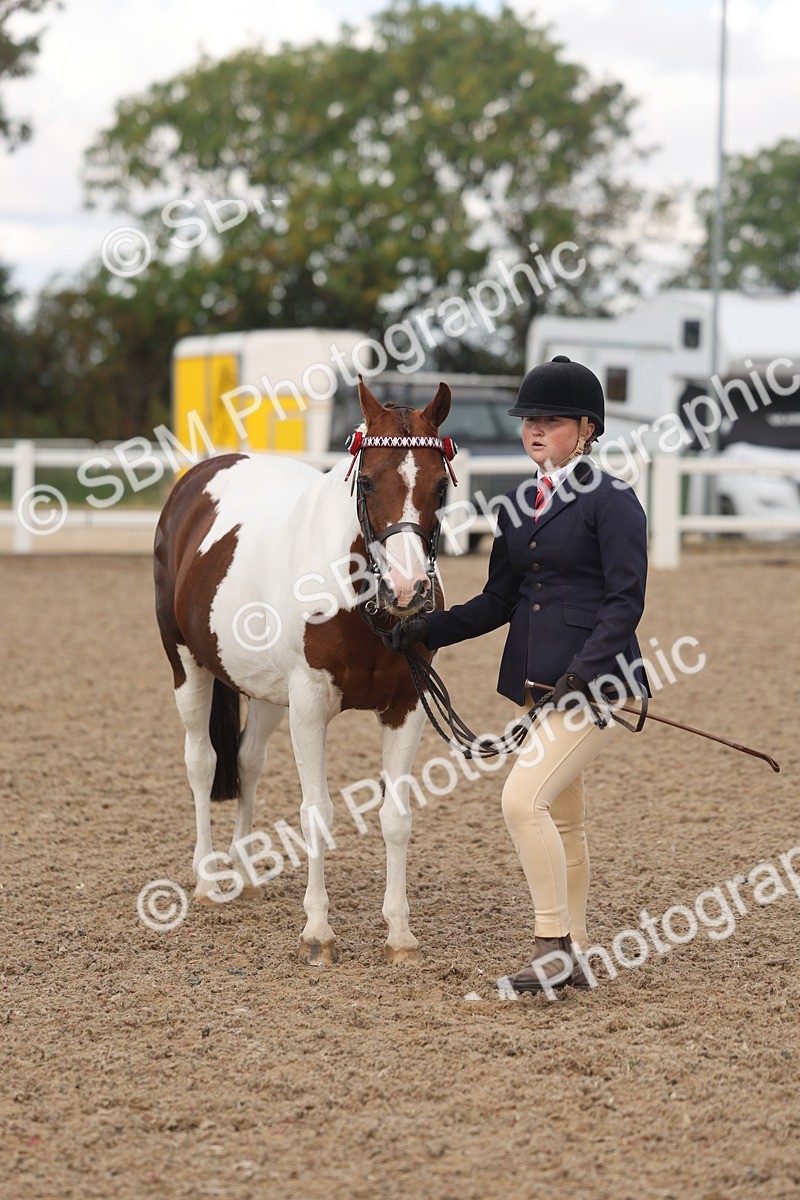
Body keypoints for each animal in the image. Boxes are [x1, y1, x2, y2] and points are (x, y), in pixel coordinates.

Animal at [153, 378, 454, 964]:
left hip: (267, 692)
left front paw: (399, 933)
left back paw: (244, 871)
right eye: (370, 481)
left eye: (439, 487)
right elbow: (317, 812)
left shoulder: (406, 705)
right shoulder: (311, 703)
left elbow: (396, 818)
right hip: (188, 664)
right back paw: (207, 878)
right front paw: (318, 930)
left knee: (247, 760)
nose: (408, 590)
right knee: (202, 762)